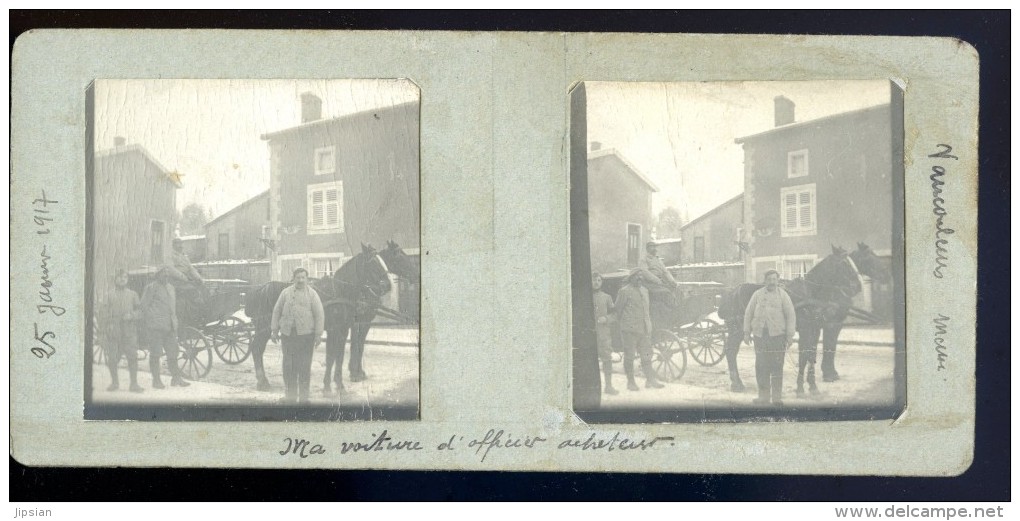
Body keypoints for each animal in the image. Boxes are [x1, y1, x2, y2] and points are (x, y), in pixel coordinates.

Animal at [718, 244, 893, 395]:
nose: (855, 286)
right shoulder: (812, 328)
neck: (812, 293)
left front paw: (813, 385)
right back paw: (736, 384)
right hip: (737, 329)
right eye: (844, 263)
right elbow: (807, 355)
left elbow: (813, 354)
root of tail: (731, 291)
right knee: (730, 351)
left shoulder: (817, 328)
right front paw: (804, 386)